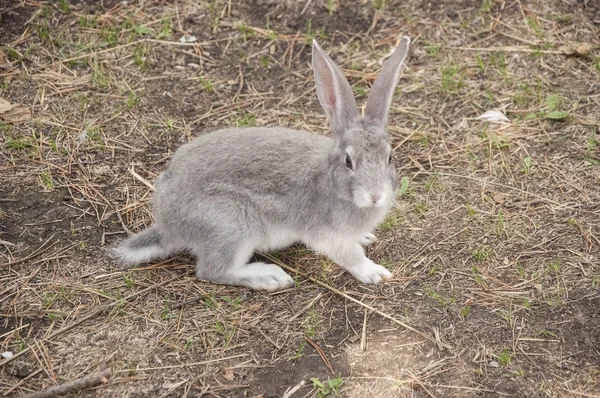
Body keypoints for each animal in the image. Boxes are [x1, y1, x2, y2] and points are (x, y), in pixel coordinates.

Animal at [114, 35, 410, 290]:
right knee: (213, 270)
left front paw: (366, 237)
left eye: (390, 158)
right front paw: (375, 272)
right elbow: (351, 255)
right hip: (232, 225)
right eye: (349, 162)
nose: (375, 196)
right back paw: (269, 276)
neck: (332, 183)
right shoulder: (327, 235)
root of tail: (168, 225)